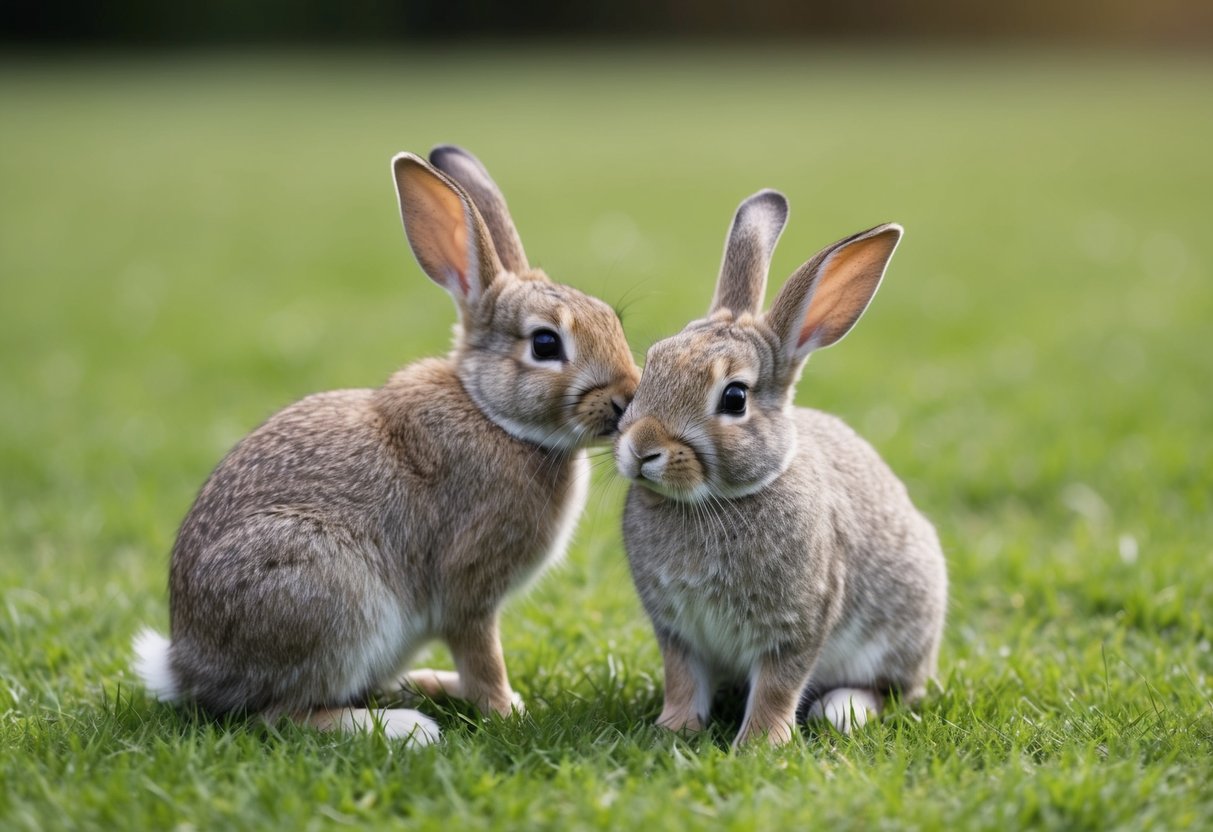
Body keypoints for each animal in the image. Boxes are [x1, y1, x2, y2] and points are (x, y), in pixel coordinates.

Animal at [132, 146, 640, 746]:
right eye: (544, 343)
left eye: (612, 320)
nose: (628, 398)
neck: (493, 415)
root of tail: (185, 669)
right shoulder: (468, 590)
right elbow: (483, 655)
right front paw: (507, 711)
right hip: (329, 597)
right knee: (278, 714)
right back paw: (404, 726)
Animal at [615, 189, 946, 747]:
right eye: (652, 365)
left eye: (734, 397)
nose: (641, 449)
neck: (720, 500)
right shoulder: (678, 632)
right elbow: (683, 679)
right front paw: (675, 727)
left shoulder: (797, 626)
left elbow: (777, 686)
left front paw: (759, 745)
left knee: (892, 691)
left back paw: (843, 710)